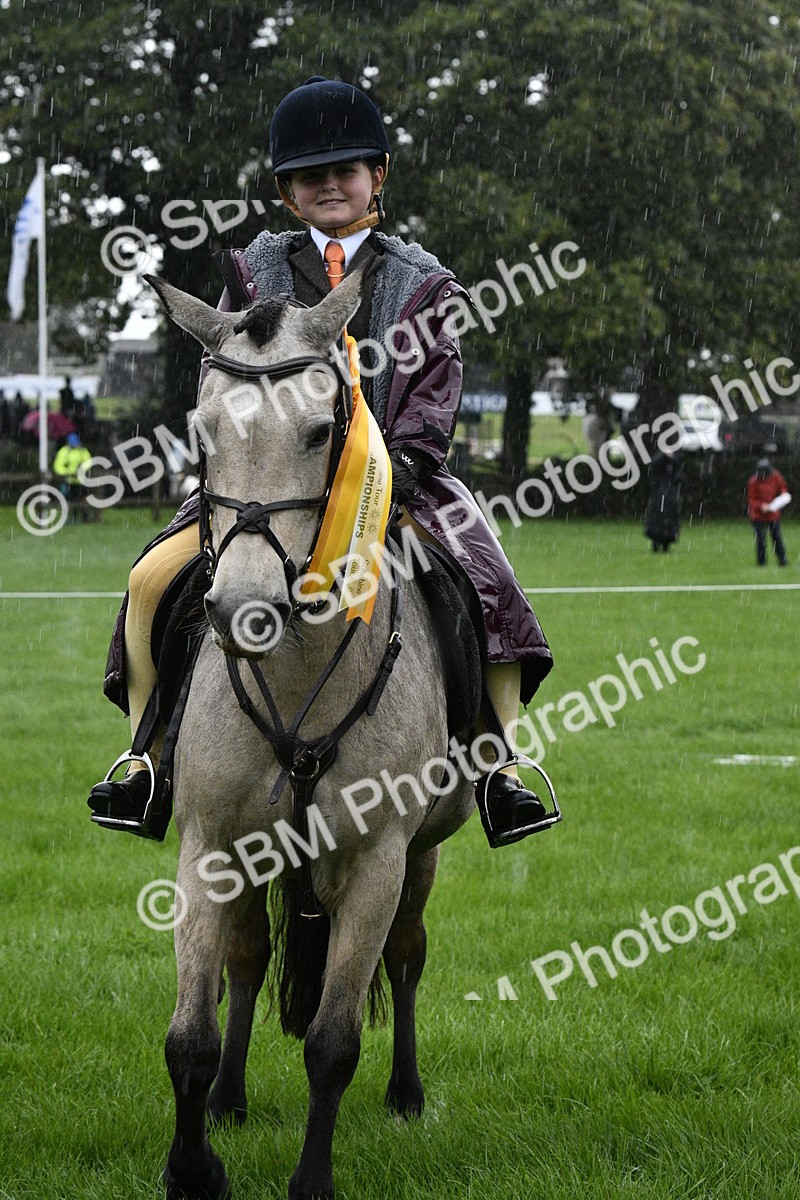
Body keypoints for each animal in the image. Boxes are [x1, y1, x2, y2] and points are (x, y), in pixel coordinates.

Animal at [147, 270, 481, 1200]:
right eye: (202, 432)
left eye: (321, 429)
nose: (241, 608)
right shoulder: (212, 845)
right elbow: (188, 1035)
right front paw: (194, 1167)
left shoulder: (376, 861)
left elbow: (333, 1043)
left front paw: (312, 1181)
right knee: (249, 963)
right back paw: (228, 1099)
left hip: (421, 859)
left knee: (406, 958)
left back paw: (406, 1093)